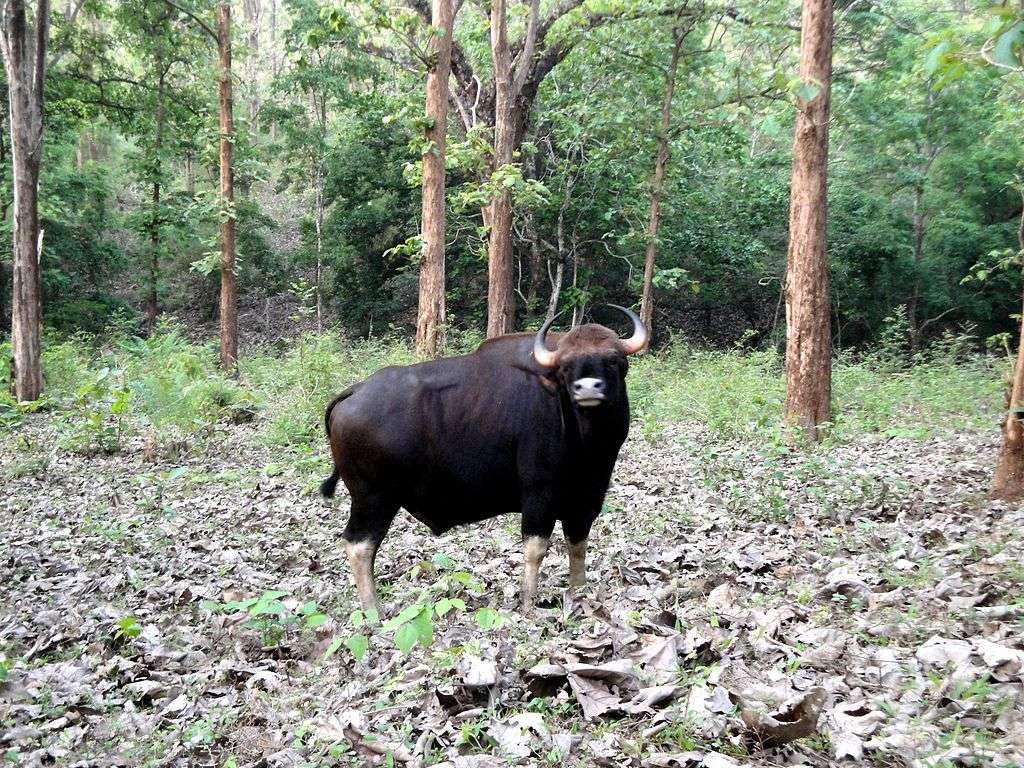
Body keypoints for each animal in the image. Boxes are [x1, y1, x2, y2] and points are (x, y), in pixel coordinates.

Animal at [320, 306, 647, 613]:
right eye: (566, 367)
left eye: (614, 360)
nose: (588, 388)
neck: (584, 441)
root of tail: (354, 391)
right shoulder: (538, 496)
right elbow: (535, 549)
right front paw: (529, 602)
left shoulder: (587, 497)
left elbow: (578, 545)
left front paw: (579, 592)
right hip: (373, 498)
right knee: (359, 545)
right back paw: (373, 609)